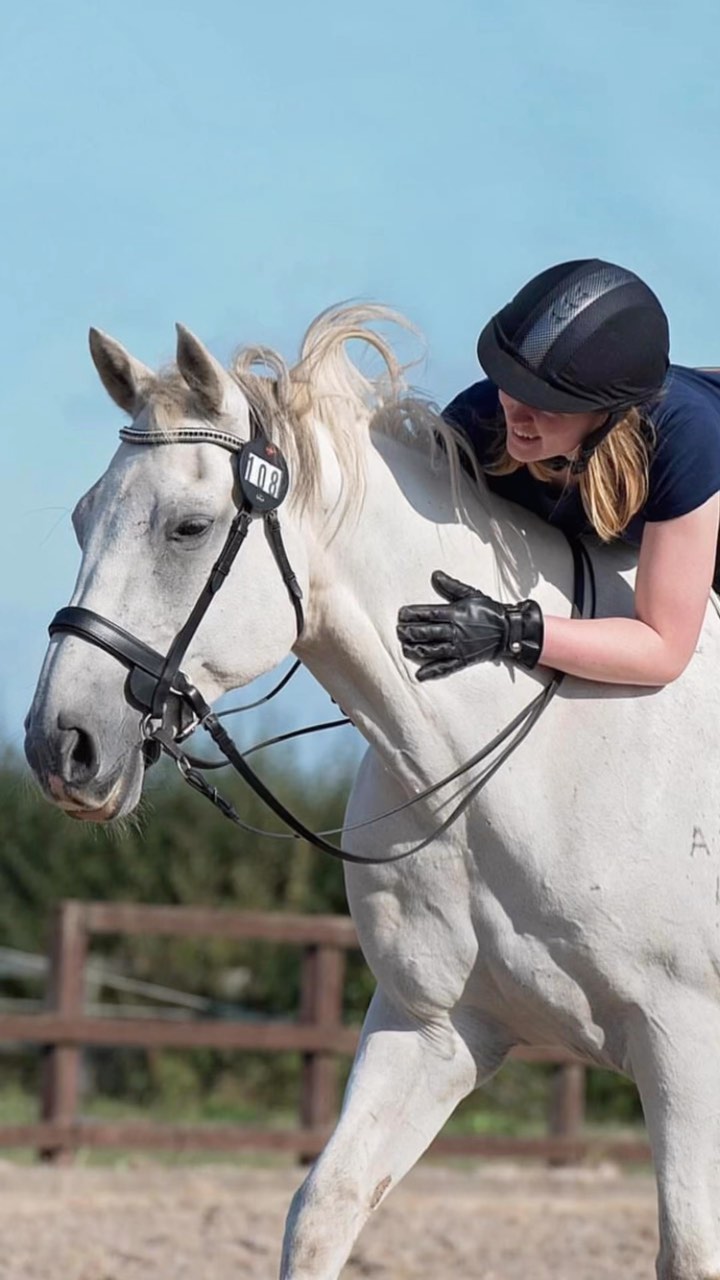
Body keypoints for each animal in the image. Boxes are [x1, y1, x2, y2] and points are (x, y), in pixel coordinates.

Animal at [24, 305, 720, 1280]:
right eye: (85, 516)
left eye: (189, 528)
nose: (60, 746)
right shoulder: (429, 1029)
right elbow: (325, 1209)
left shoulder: (685, 1048)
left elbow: (690, 1250)